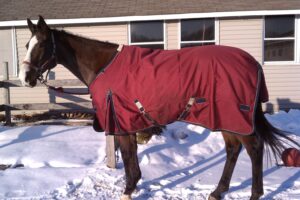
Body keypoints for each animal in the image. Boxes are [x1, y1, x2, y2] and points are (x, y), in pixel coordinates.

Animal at [19, 16, 298, 200]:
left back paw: (253, 194)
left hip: (236, 117)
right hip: (226, 119)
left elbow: (128, 156)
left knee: (254, 149)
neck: (103, 66)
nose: (25, 78)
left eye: (41, 45)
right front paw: (134, 186)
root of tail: (253, 63)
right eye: (26, 45)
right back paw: (218, 192)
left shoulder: (121, 121)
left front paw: (128, 191)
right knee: (233, 150)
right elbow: (130, 156)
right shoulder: (127, 122)